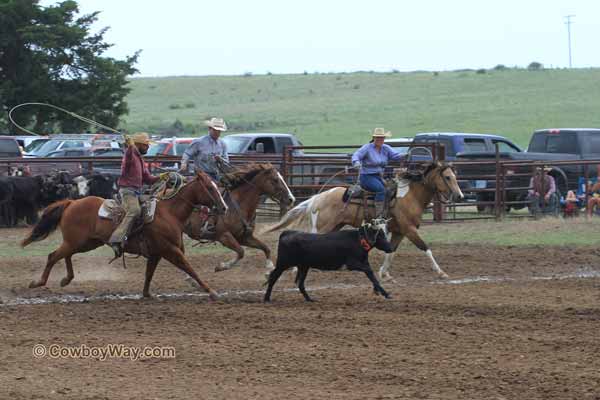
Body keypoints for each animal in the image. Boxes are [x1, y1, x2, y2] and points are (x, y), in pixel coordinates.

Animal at [21, 172, 227, 300]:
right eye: (210, 187)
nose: (224, 207)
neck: (169, 213)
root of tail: (71, 202)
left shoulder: (156, 253)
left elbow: (149, 274)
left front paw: (146, 294)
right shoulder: (171, 250)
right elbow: (190, 269)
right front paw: (211, 291)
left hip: (85, 243)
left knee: (66, 255)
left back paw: (66, 279)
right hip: (76, 242)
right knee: (53, 256)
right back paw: (38, 282)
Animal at [262, 162, 464, 282]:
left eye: (455, 177)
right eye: (447, 177)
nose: (459, 196)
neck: (410, 197)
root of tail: (318, 197)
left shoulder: (399, 231)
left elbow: (391, 251)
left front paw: (385, 274)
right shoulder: (410, 229)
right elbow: (425, 248)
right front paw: (441, 272)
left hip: (334, 226)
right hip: (323, 226)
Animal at [264, 220, 394, 302]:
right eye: (379, 235)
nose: (390, 248)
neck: (358, 240)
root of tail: (287, 232)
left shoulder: (364, 263)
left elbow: (372, 276)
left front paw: (384, 293)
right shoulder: (352, 264)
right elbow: (370, 272)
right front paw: (382, 292)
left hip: (303, 267)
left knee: (300, 284)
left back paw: (310, 299)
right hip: (283, 264)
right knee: (273, 277)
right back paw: (266, 298)